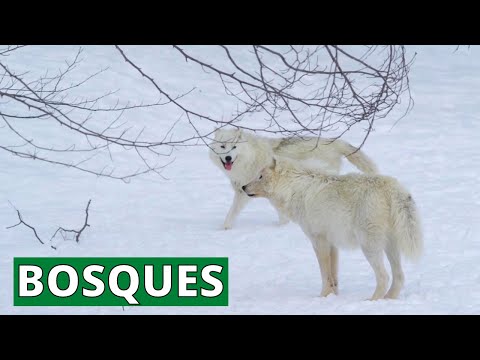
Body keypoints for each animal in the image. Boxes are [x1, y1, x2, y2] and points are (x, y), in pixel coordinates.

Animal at [209, 129, 378, 231]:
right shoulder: (242, 191)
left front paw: (282, 226)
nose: (228, 158)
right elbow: (232, 213)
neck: (250, 159)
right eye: (223, 146)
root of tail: (334, 141)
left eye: (234, 147)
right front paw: (224, 228)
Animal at [242, 158, 422, 300]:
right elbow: (334, 275)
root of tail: (392, 187)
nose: (243, 187)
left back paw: (371, 301)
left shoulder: (318, 241)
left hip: (369, 247)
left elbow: (325, 274)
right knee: (399, 276)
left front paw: (322, 296)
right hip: (390, 246)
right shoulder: (333, 243)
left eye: (260, 176)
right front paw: (333, 296)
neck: (294, 189)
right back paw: (388, 298)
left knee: (384, 276)